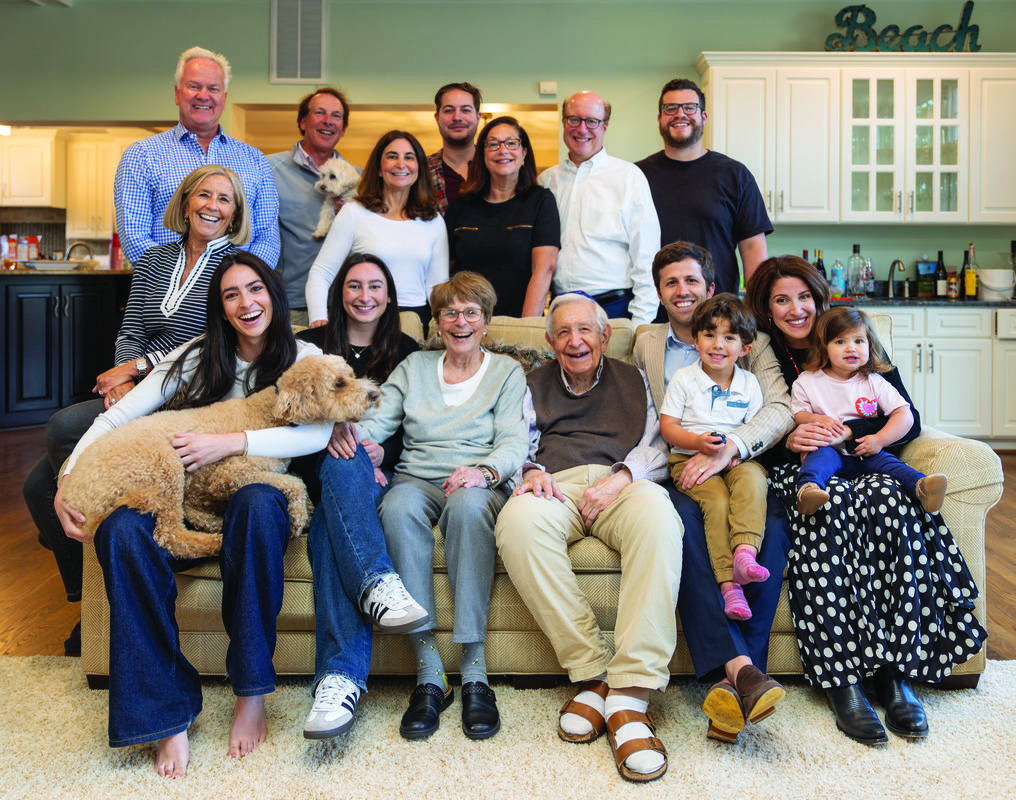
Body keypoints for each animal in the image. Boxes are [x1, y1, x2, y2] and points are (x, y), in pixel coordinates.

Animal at [65, 355, 379, 557]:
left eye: (351, 376)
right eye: (339, 383)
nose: (374, 394)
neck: (274, 412)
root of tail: (74, 493)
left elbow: (295, 480)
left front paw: (307, 513)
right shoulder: (228, 475)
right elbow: (294, 483)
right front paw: (298, 517)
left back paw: (214, 524)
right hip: (164, 465)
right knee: (169, 534)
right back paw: (215, 542)